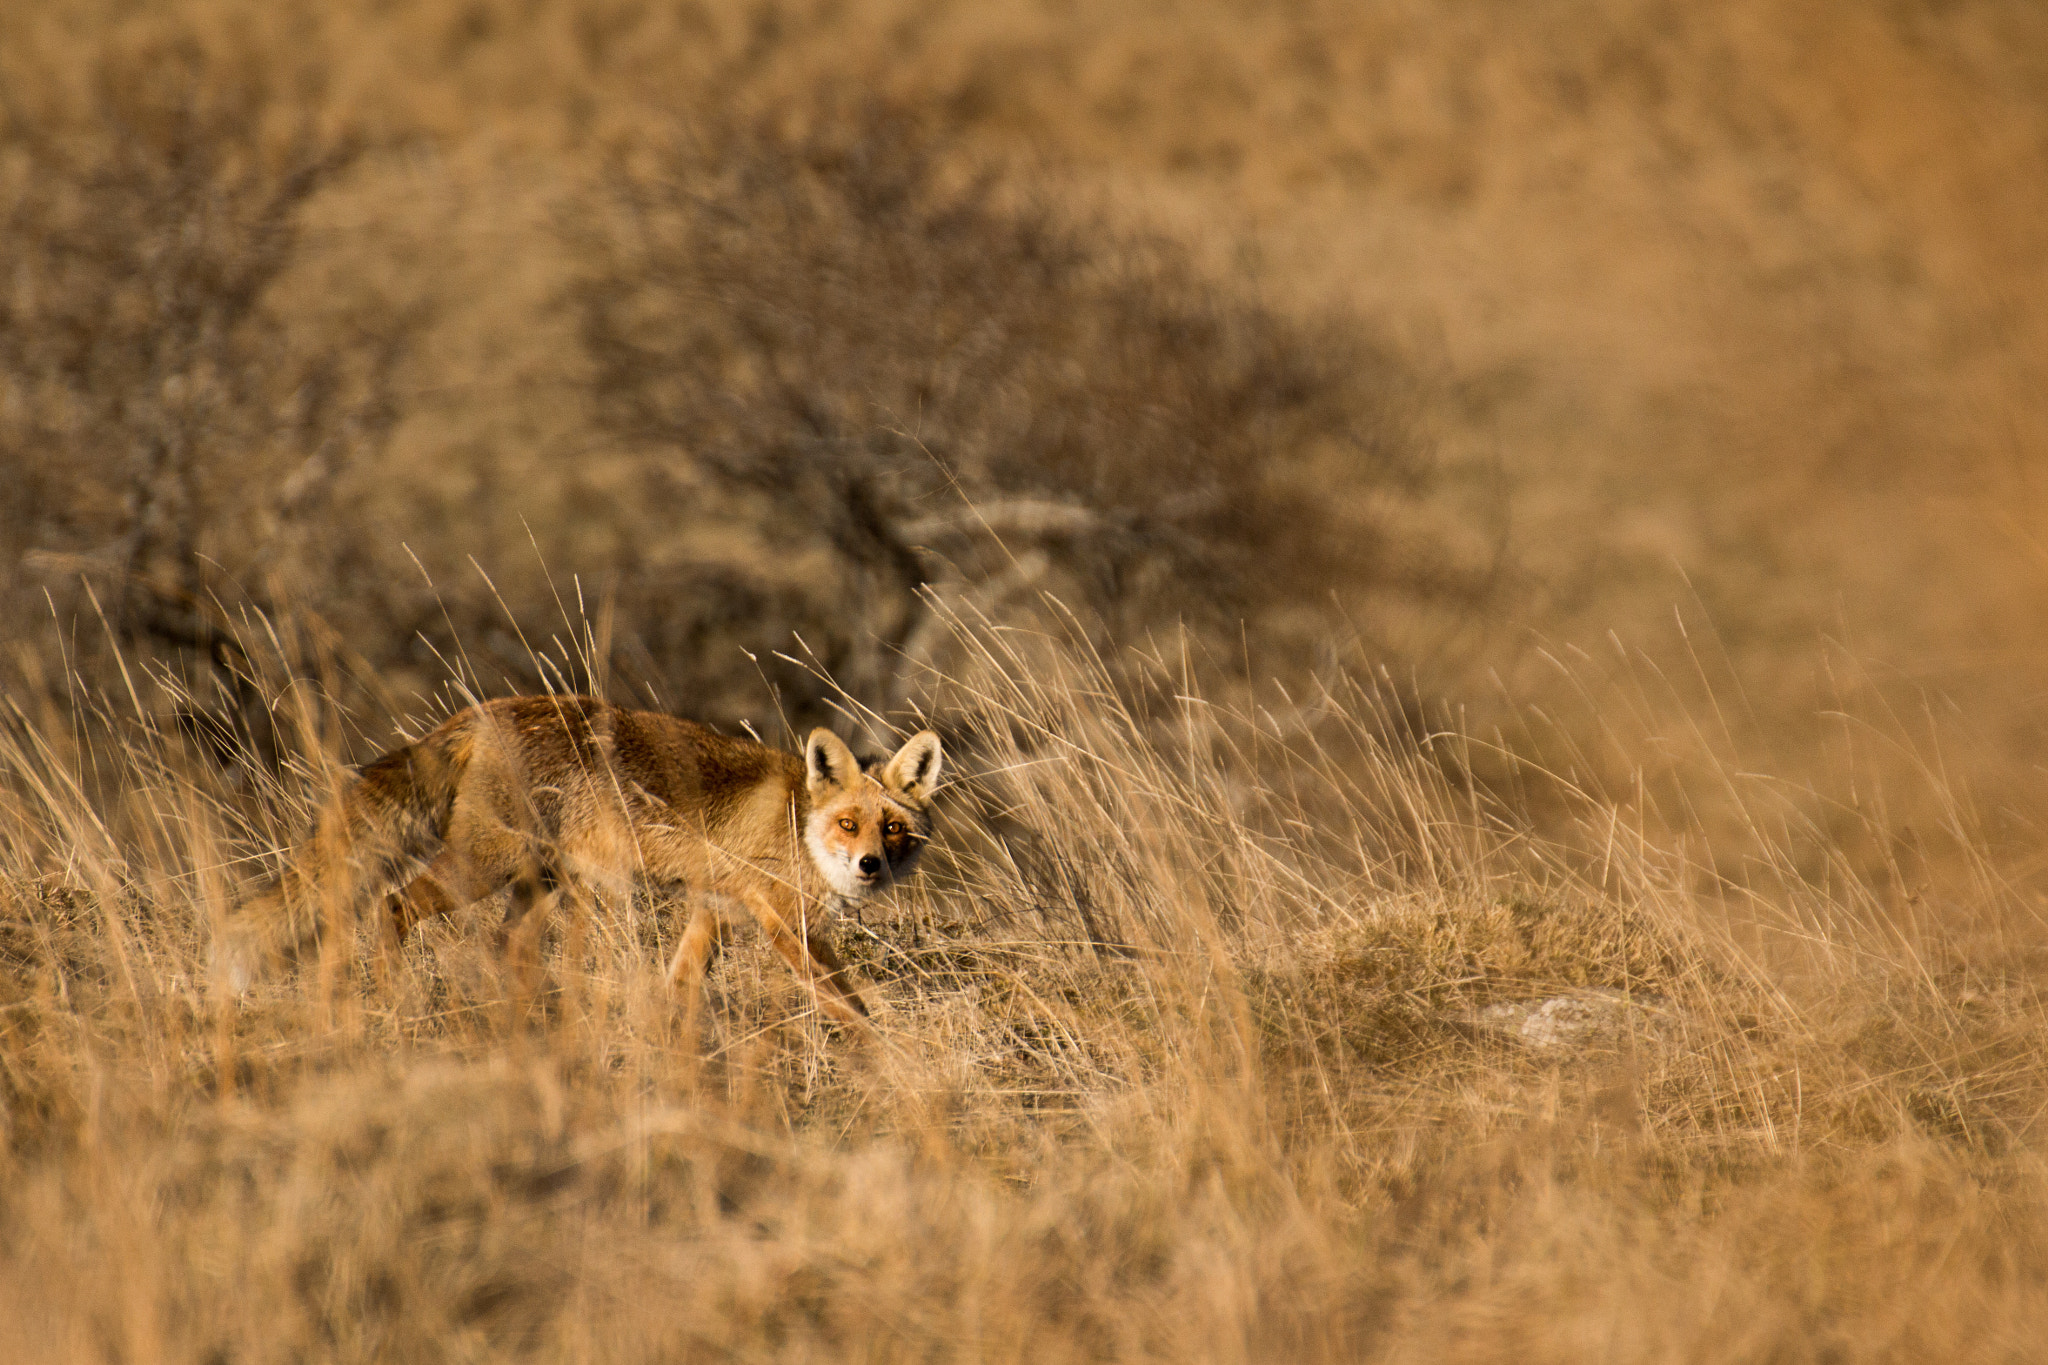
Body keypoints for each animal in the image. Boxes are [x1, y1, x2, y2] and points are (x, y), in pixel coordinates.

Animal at [216, 699, 942, 1031]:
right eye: (848, 824)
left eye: (894, 829)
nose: (870, 866)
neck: (796, 827)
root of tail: (486, 711)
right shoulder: (783, 922)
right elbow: (845, 999)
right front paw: (886, 1054)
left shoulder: (713, 910)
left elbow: (679, 981)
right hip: (483, 867)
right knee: (390, 906)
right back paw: (399, 998)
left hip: (535, 882)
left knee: (502, 945)